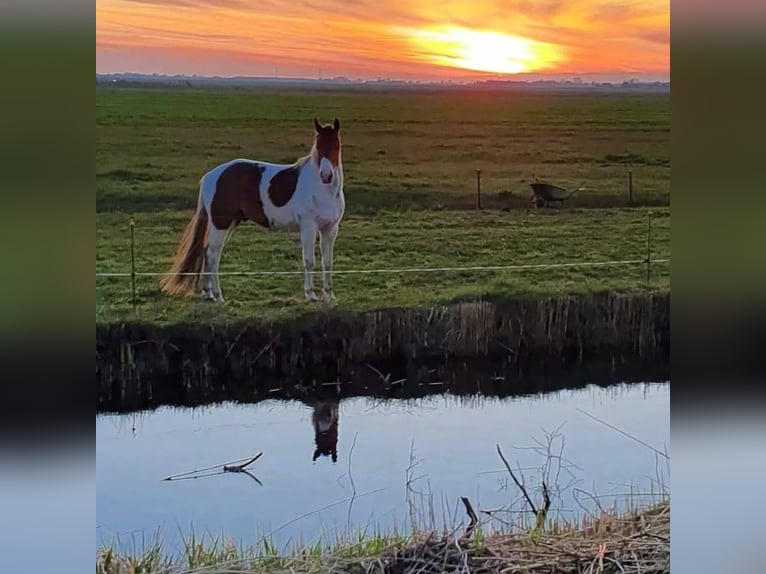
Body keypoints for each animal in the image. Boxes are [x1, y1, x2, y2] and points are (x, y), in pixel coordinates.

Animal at [160, 117, 346, 306]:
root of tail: (210, 176)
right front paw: (310, 295)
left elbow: (327, 262)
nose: (326, 175)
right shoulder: (308, 227)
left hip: (229, 223)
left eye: (336, 145)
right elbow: (309, 261)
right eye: (318, 145)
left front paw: (329, 295)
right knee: (213, 255)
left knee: (209, 254)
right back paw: (218, 296)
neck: (321, 189)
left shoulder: (330, 228)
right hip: (221, 224)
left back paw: (209, 294)